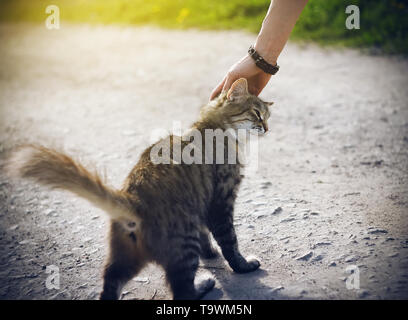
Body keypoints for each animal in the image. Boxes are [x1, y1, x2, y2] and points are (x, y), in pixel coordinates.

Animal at [6, 78, 272, 300]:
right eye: (257, 114)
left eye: (267, 116)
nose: (267, 128)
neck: (210, 127)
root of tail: (131, 198)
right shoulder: (221, 200)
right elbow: (230, 242)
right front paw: (243, 265)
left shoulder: (204, 205)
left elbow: (207, 235)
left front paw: (210, 253)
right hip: (183, 246)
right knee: (182, 292)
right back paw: (204, 285)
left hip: (123, 258)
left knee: (110, 283)